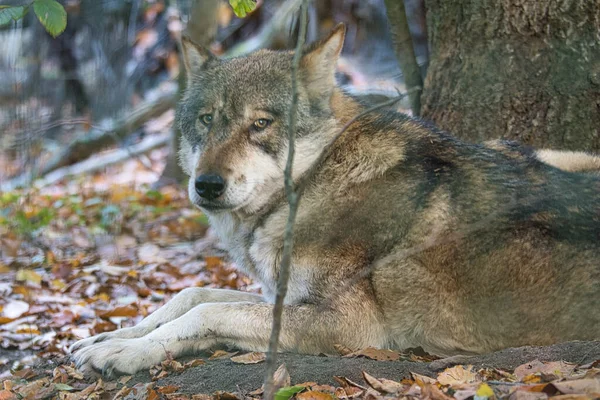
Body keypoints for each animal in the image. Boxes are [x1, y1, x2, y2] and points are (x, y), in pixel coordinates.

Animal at [71, 25, 600, 378]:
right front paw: (107, 336)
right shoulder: (283, 294)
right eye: (206, 120)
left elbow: (206, 312)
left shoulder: (354, 327)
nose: (207, 185)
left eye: (260, 123)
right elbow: (191, 295)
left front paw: (123, 353)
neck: (316, 180)